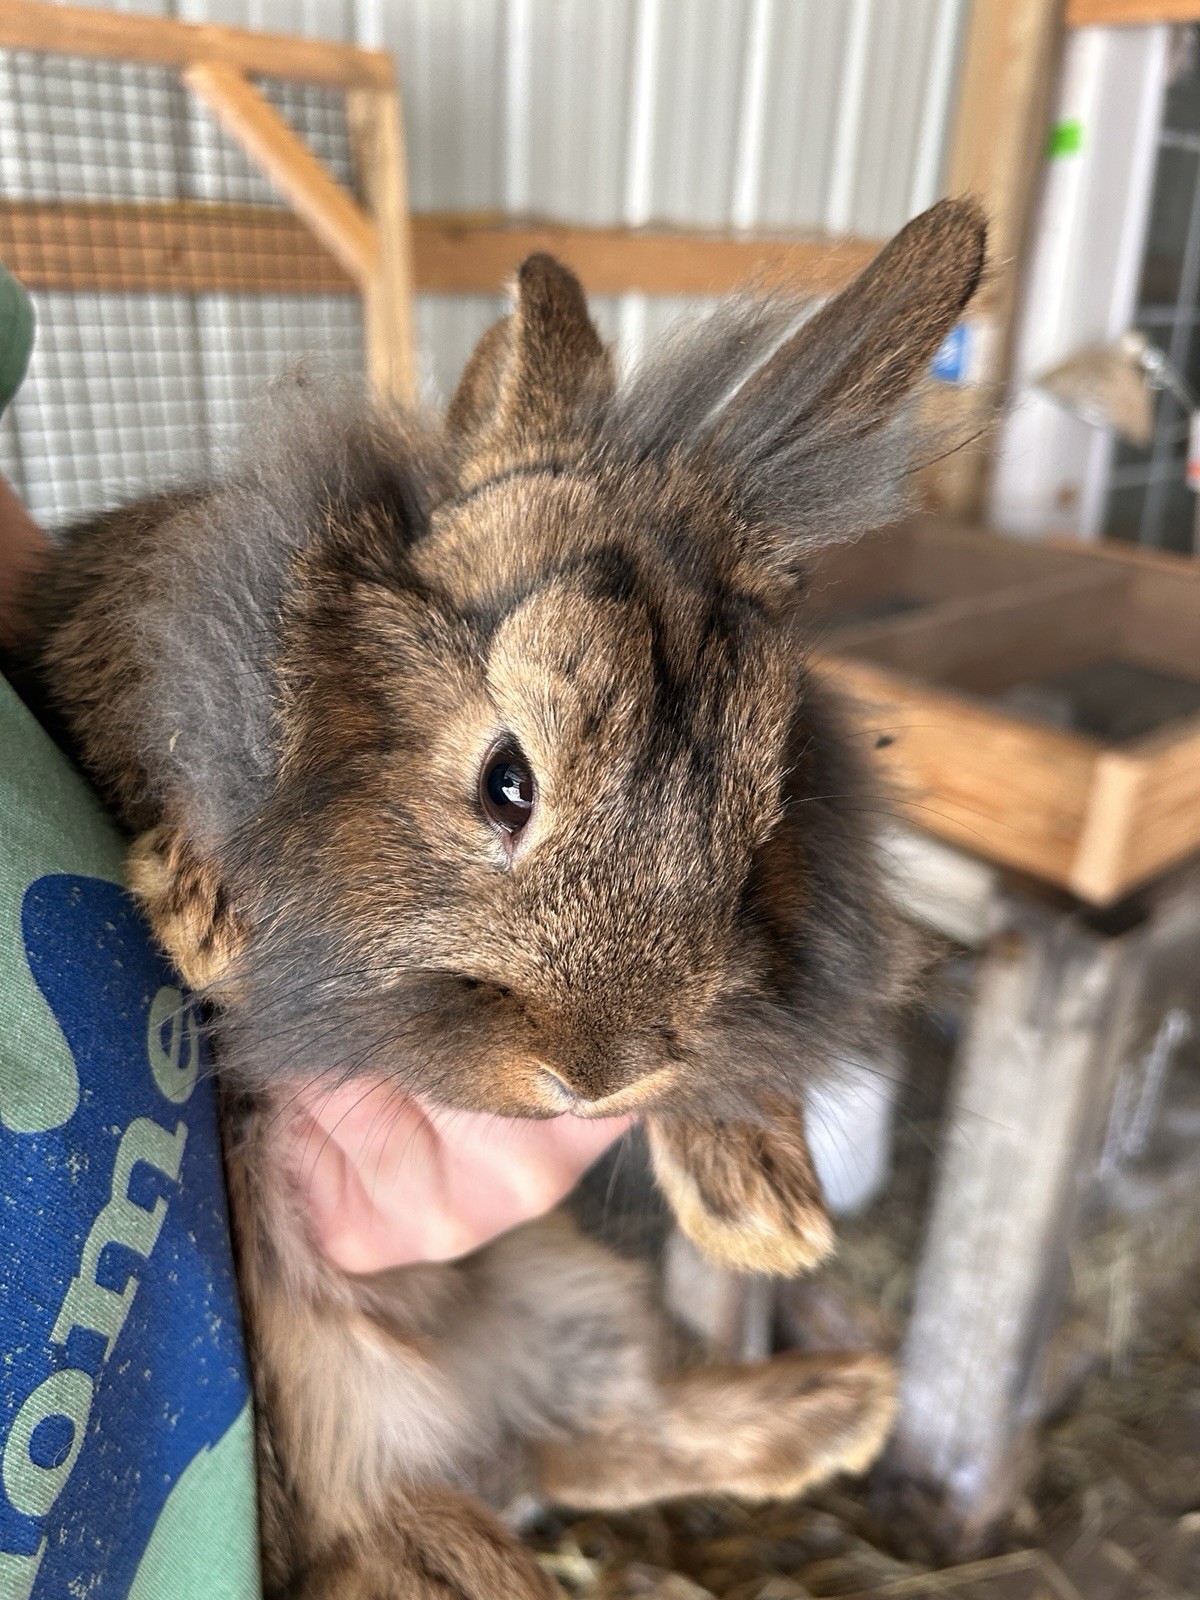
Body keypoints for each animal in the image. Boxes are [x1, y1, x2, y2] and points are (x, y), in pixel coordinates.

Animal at [23, 196, 986, 1598]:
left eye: (760, 827)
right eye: (506, 781)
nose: (599, 1075)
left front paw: (767, 1211)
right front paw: (212, 916)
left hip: (564, 1300)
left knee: (605, 1435)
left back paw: (841, 1404)